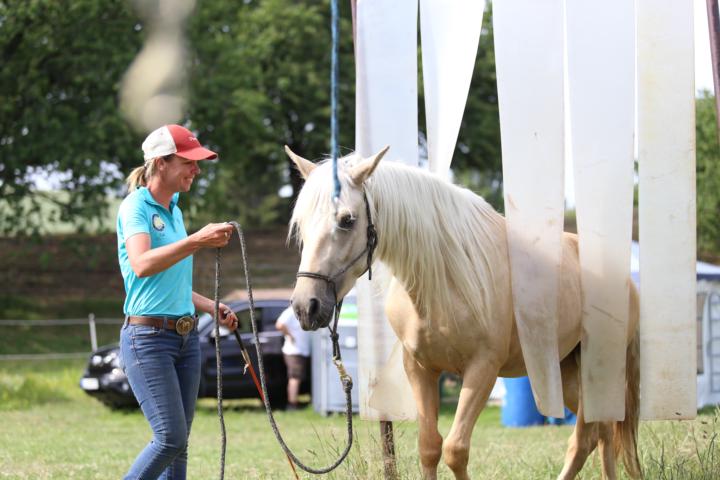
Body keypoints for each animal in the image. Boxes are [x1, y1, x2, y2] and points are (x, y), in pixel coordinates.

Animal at [285, 146, 641, 480]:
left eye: (347, 220)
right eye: (301, 224)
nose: (306, 306)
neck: (444, 280)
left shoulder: (482, 369)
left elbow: (456, 449)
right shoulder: (420, 369)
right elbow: (429, 447)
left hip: (597, 369)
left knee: (591, 435)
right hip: (566, 374)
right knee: (598, 433)